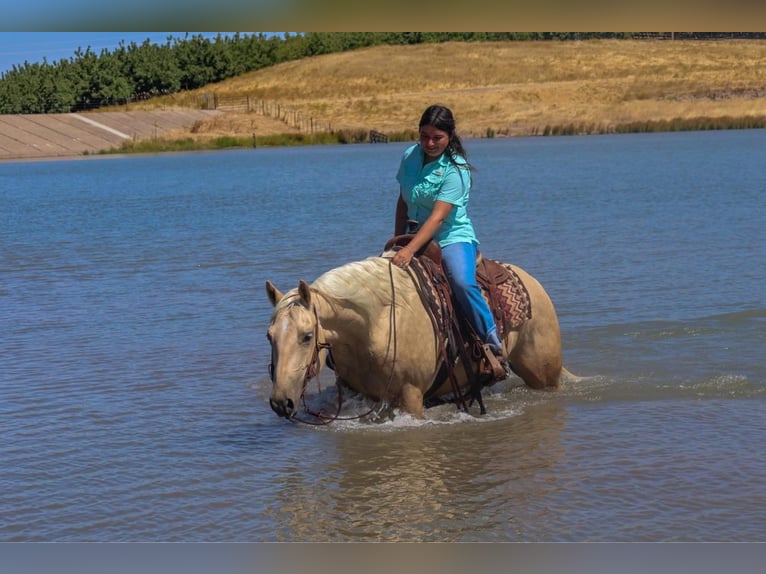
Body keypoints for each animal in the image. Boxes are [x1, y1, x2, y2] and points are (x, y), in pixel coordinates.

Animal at [268, 254, 568, 420]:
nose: (281, 402)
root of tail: (533, 284)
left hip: (544, 377)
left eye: (307, 336)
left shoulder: (411, 397)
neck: (375, 323)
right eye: (270, 337)